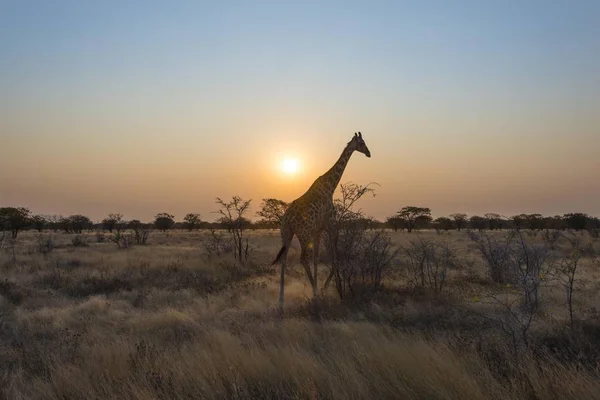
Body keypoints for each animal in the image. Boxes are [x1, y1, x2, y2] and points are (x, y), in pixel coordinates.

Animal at [272, 131, 370, 312]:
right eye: (361, 143)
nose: (369, 153)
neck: (330, 187)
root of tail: (287, 219)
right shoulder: (331, 224)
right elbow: (335, 256)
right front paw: (323, 287)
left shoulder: (317, 230)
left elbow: (317, 258)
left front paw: (318, 285)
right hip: (303, 234)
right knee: (303, 258)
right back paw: (314, 294)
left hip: (286, 233)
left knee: (284, 258)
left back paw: (281, 299)